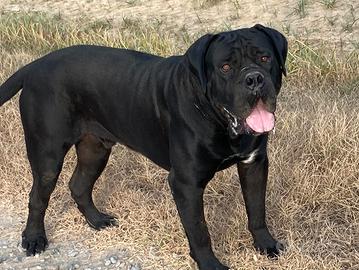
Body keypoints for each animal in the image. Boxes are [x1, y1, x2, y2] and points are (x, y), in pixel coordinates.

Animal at [0, 24, 288, 268]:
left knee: (79, 185)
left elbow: (257, 210)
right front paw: (210, 266)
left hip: (95, 149)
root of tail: (35, 65)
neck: (218, 120)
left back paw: (97, 220)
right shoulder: (186, 183)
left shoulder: (255, 164)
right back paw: (34, 238)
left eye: (265, 58)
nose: (254, 79)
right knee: (38, 197)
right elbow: (199, 230)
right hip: (48, 155)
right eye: (226, 67)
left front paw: (266, 245)